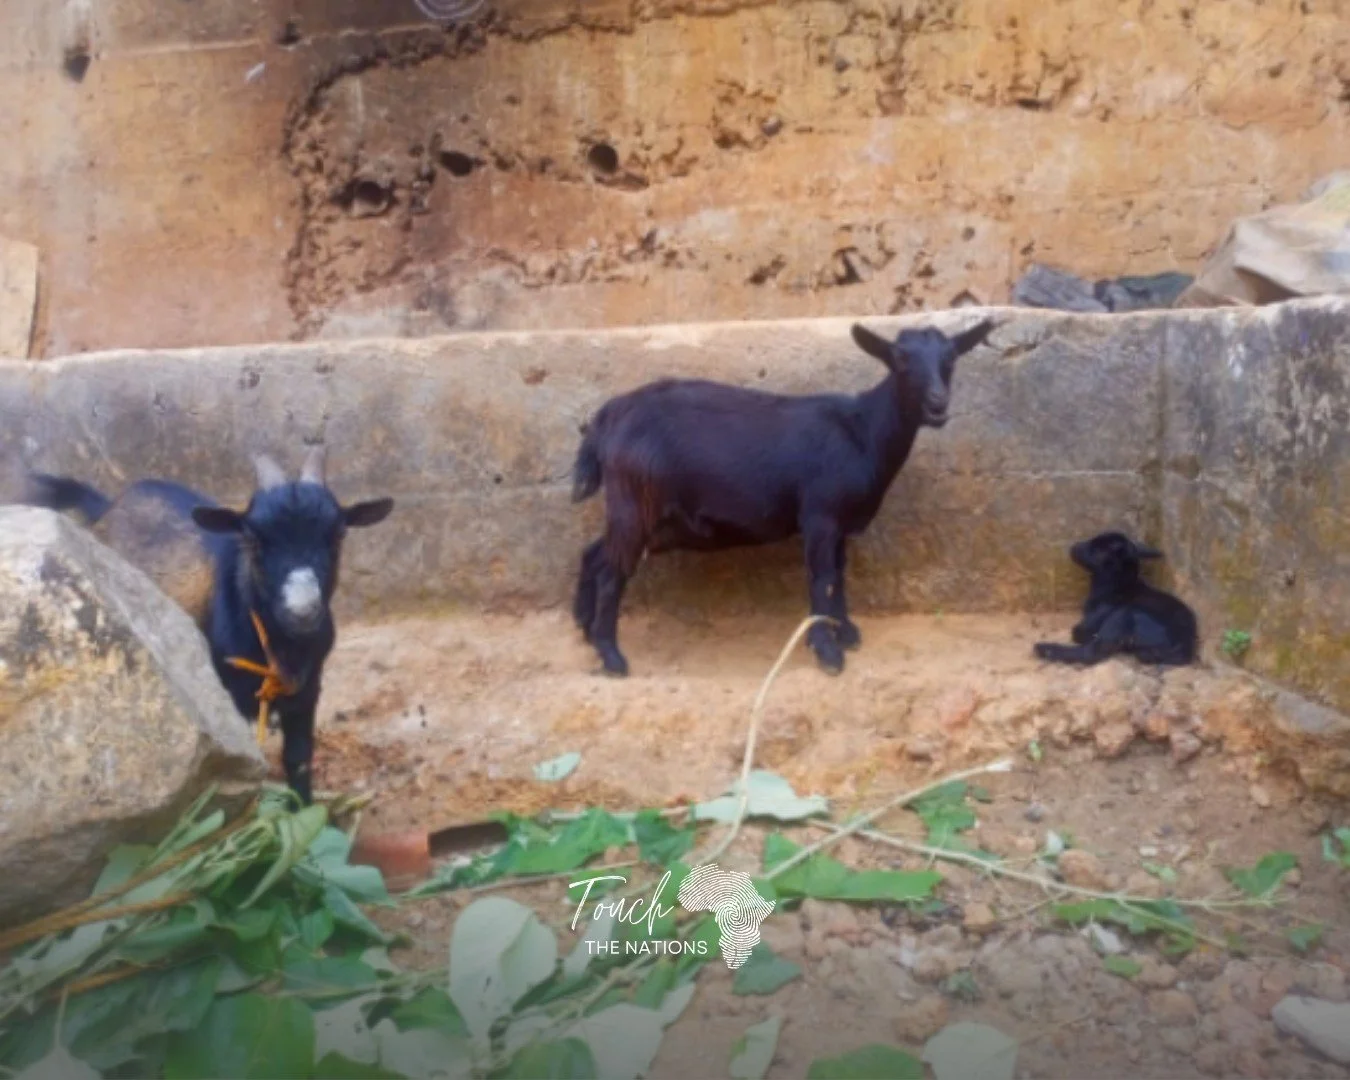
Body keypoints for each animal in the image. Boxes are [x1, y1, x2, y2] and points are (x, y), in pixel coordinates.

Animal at [22, 448, 394, 803]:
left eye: (339, 534)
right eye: (252, 539)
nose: (302, 611)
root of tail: (109, 504)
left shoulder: (307, 690)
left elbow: (299, 758)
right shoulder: (227, 698)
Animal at [570, 317, 997, 676]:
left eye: (951, 358)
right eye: (900, 359)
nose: (938, 404)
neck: (862, 431)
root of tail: (607, 418)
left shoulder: (840, 523)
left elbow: (838, 576)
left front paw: (845, 631)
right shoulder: (820, 516)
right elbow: (821, 578)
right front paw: (827, 650)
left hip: (650, 516)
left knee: (595, 553)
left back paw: (585, 628)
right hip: (635, 501)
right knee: (612, 571)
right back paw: (611, 655)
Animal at [1033, 531, 1197, 667]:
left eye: (1095, 548)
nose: (1075, 546)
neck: (1116, 584)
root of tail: (1184, 649)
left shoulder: (1092, 621)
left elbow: (1078, 632)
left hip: (1123, 616)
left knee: (1091, 653)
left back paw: (1043, 648)